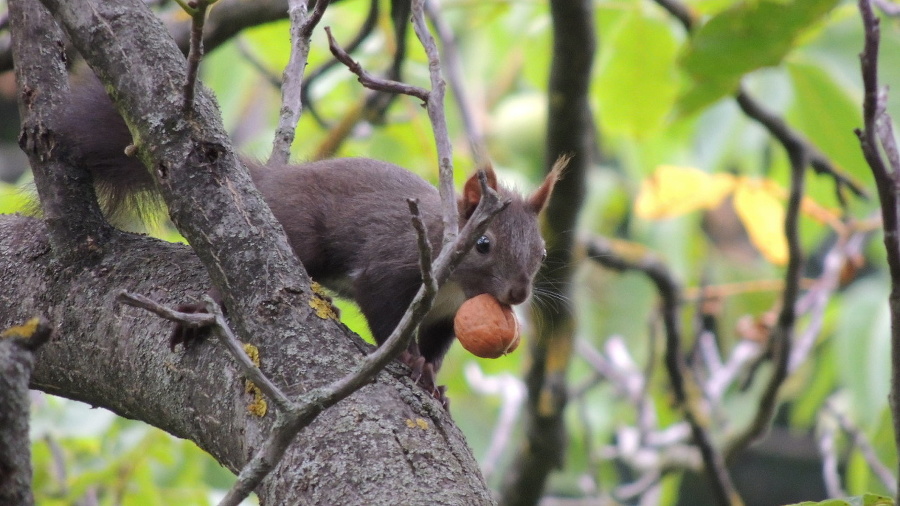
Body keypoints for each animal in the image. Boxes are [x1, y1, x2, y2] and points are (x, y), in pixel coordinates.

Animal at [52, 75, 564, 400]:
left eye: (541, 252)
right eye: (484, 245)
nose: (518, 294)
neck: (457, 286)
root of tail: (267, 183)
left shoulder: (445, 317)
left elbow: (437, 346)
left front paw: (431, 377)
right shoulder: (394, 265)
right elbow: (383, 311)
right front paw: (409, 360)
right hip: (297, 233)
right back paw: (203, 308)